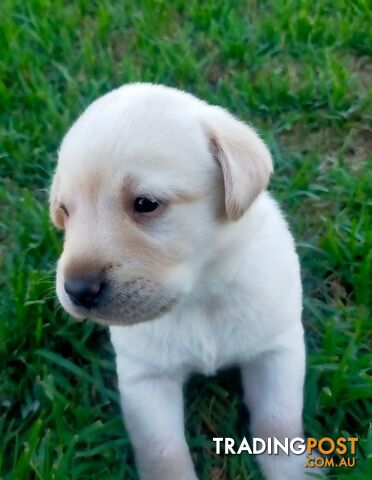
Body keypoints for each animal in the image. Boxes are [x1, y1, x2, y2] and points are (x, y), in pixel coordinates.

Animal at [50, 83, 310, 480]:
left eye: (145, 203)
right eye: (65, 211)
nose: (78, 290)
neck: (199, 298)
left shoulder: (277, 350)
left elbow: (278, 425)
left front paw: (292, 472)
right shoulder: (145, 379)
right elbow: (164, 453)